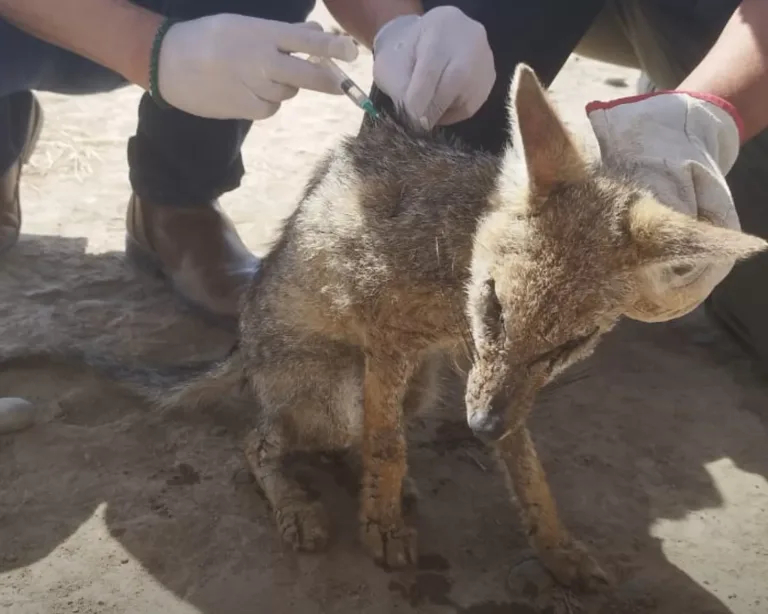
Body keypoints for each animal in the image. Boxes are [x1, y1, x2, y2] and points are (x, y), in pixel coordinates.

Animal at [3, 65, 764, 596]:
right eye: (492, 305)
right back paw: (303, 503)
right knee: (258, 442)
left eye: (569, 346)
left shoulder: (486, 382)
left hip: (420, 387)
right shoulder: (391, 342)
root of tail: (243, 348)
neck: (453, 253)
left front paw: (558, 551)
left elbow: (527, 474)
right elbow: (387, 447)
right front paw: (384, 526)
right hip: (340, 382)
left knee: (342, 436)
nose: (481, 428)